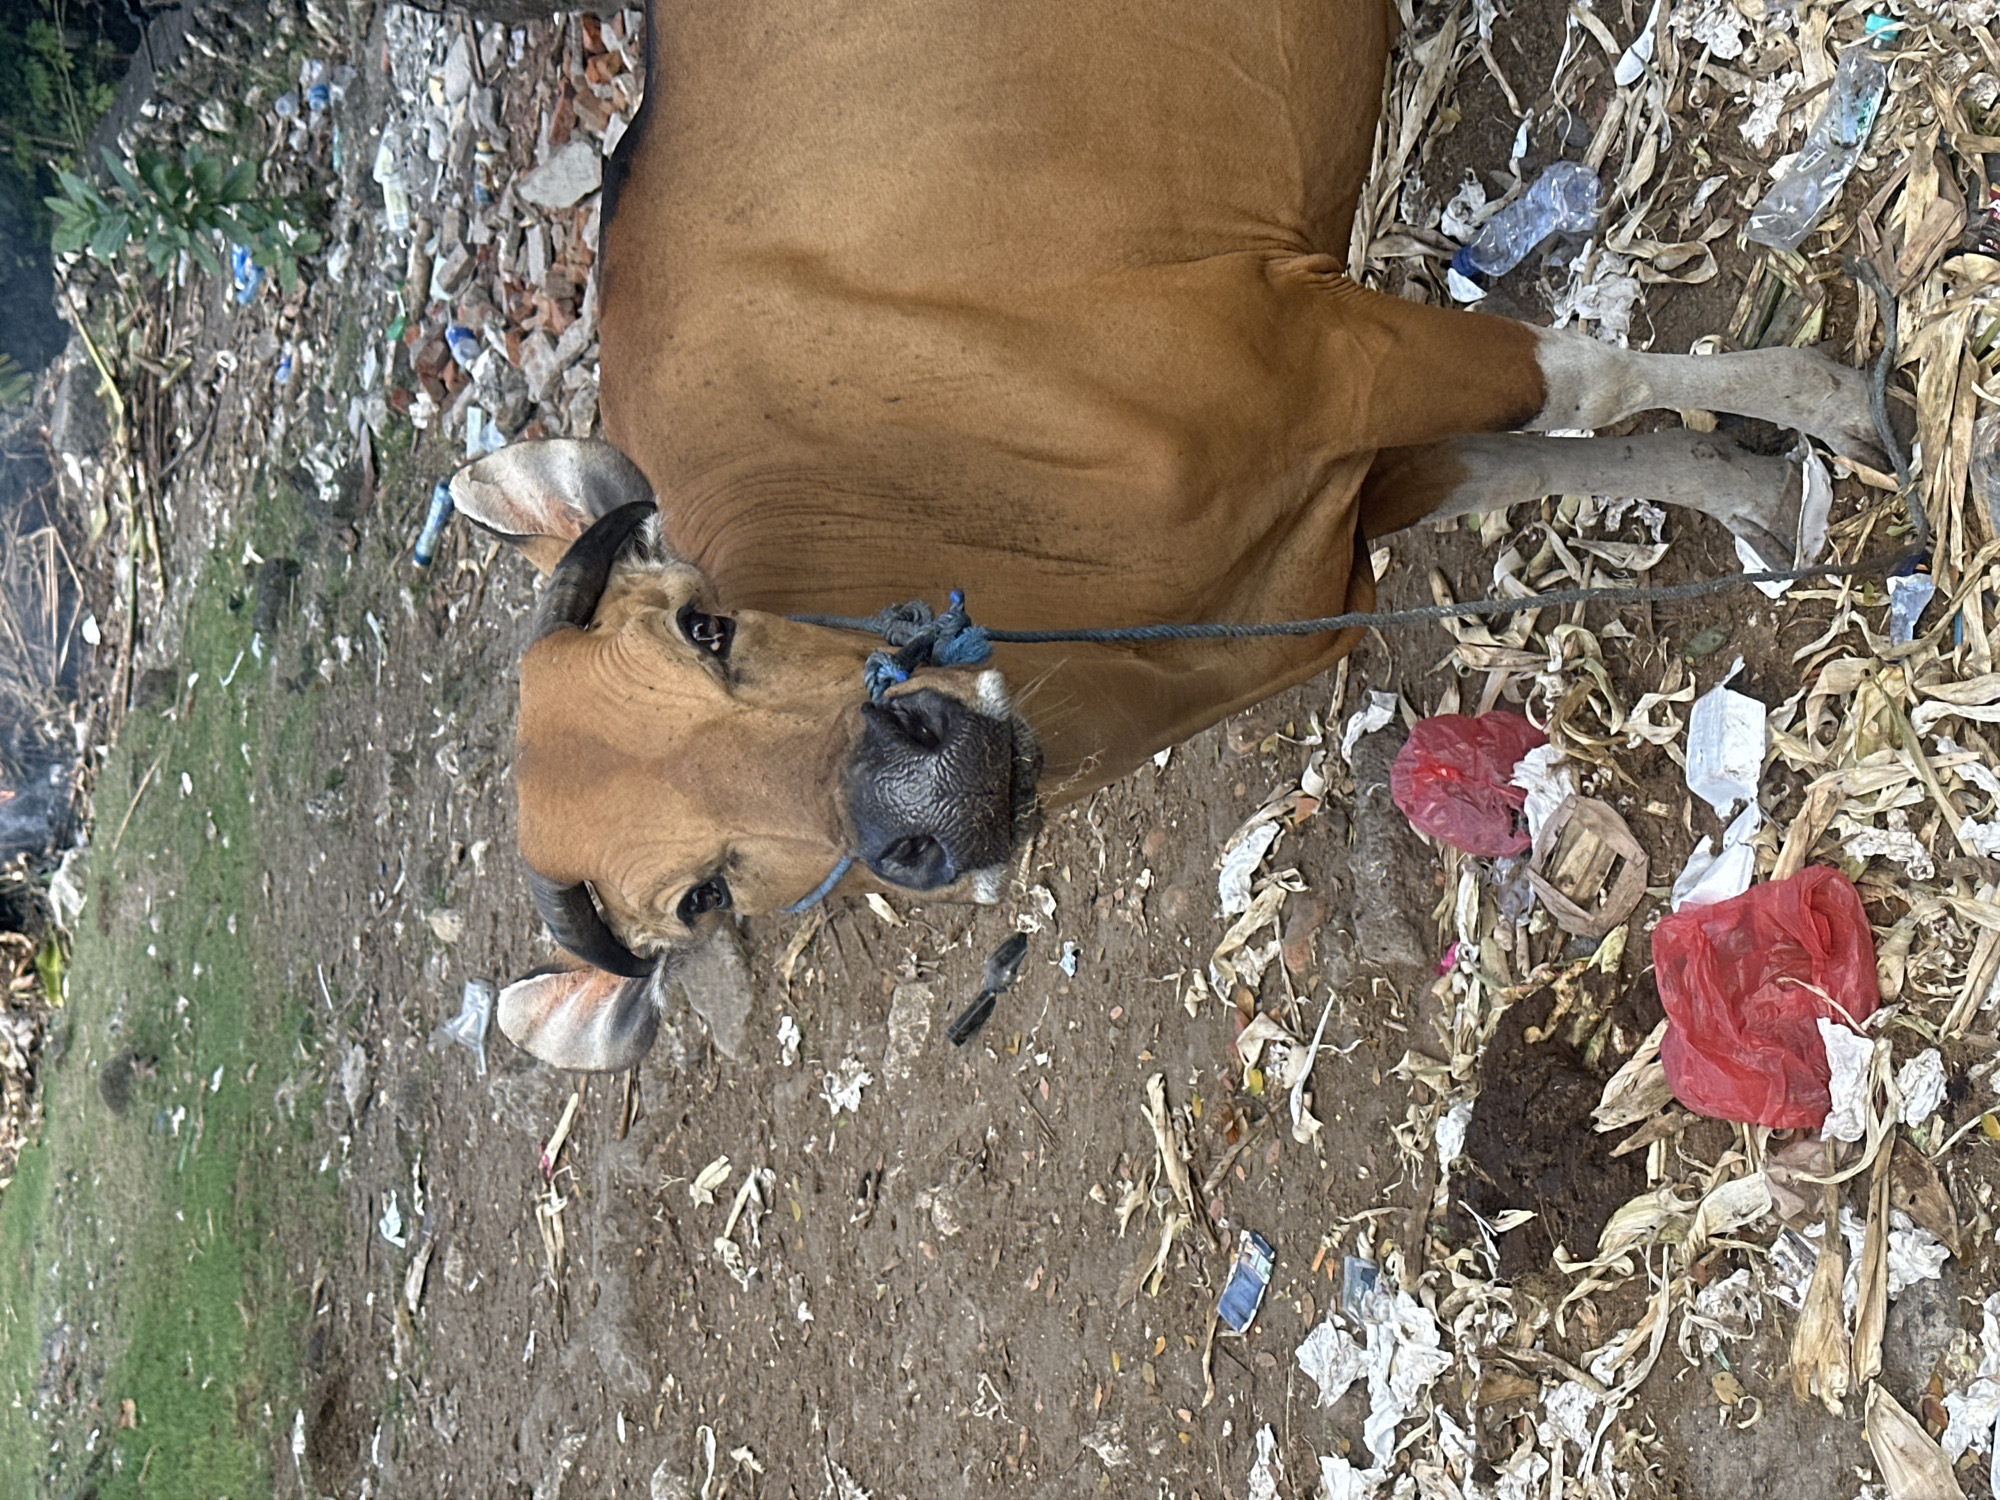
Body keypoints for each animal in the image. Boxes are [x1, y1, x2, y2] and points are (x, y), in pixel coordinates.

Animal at [450, 0, 1886, 1072]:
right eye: (701, 900)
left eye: (705, 621)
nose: (917, 793)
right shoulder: (1335, 503)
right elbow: (1547, 453)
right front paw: (1762, 493)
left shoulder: (1318, 348)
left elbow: (1584, 382)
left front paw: (1832, 400)